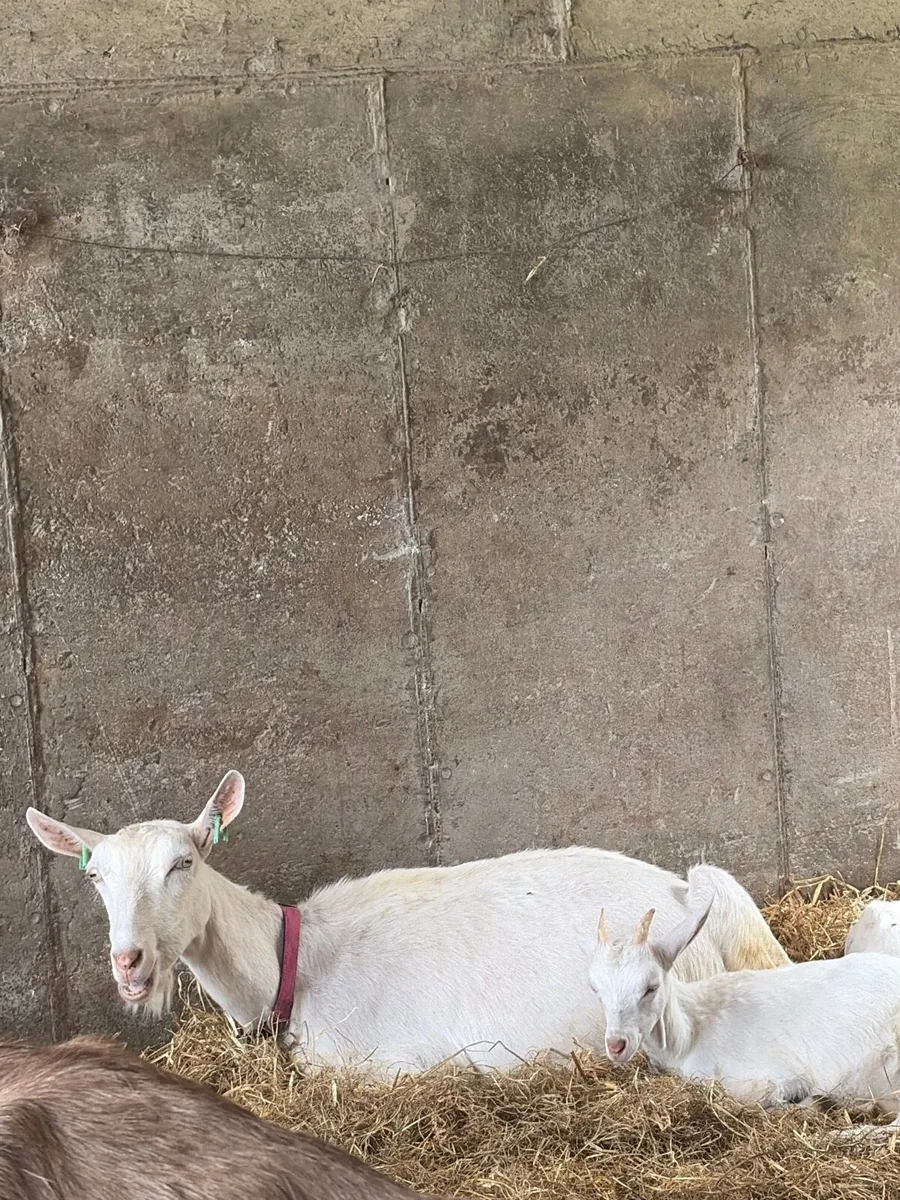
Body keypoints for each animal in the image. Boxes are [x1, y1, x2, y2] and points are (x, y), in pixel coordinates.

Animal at [26, 771, 788, 1078]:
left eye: (183, 862)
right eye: (94, 877)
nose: (129, 961)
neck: (294, 962)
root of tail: (686, 891)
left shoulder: (389, 1064)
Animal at [588, 902, 900, 1120]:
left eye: (650, 987)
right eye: (595, 989)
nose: (616, 1045)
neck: (689, 1032)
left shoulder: (759, 1079)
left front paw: (809, 1103)